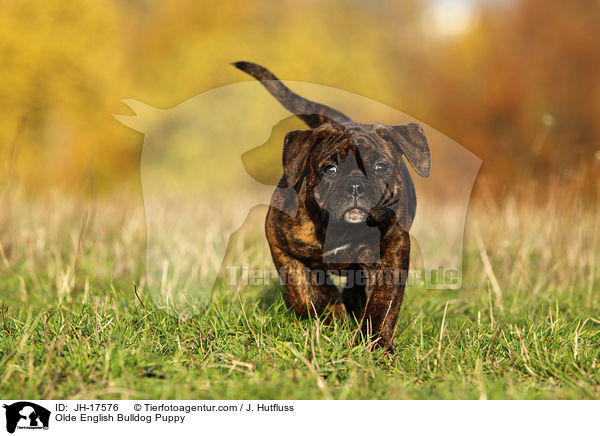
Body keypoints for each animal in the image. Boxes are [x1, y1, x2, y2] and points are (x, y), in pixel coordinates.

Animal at [232, 61, 428, 350]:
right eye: (330, 169)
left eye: (381, 167)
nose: (355, 186)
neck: (341, 228)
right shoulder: (281, 245)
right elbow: (306, 289)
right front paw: (332, 314)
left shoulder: (392, 253)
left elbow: (382, 305)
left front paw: (375, 344)